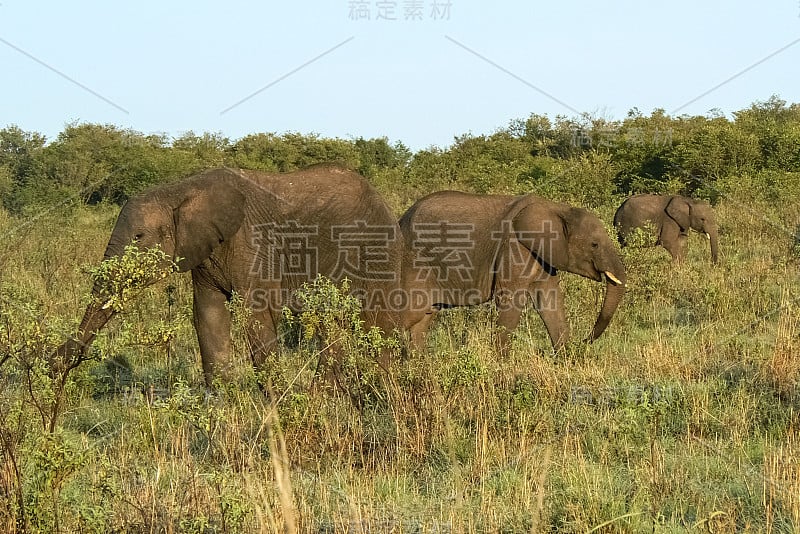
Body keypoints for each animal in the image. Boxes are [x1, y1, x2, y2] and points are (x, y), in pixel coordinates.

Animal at [54, 164, 406, 386]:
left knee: (376, 324)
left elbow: (256, 315)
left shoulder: (254, 243)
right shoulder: (204, 251)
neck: (180, 190)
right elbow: (208, 313)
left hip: (375, 253)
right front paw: (223, 402)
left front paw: (276, 405)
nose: (56, 362)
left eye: (139, 237)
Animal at [398, 193, 624, 356]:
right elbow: (510, 300)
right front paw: (503, 366)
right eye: (594, 244)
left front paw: (567, 360)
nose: (584, 341)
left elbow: (549, 300)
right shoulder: (514, 248)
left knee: (423, 319)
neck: (557, 208)